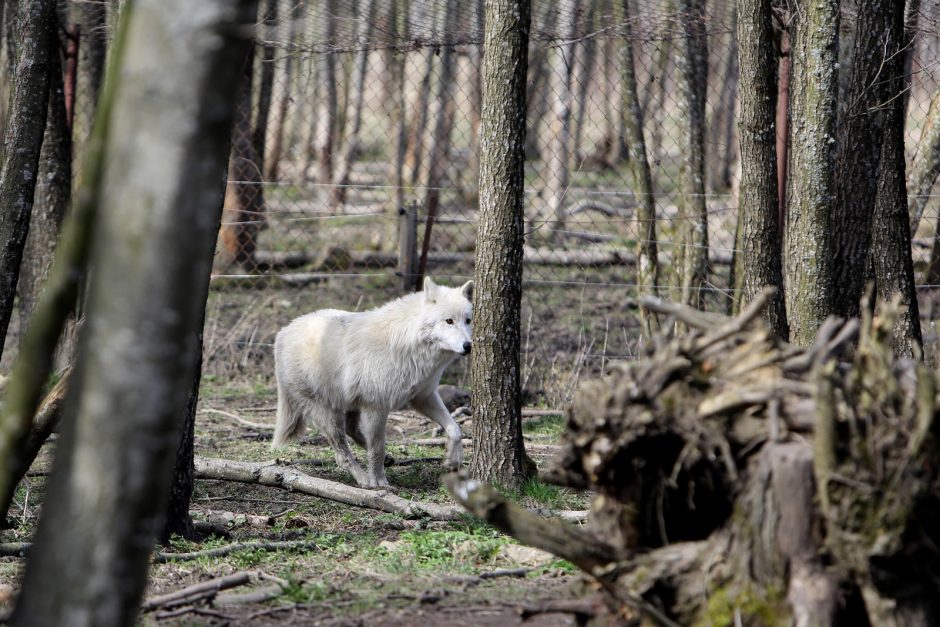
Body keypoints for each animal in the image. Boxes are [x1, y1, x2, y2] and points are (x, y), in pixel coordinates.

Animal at [274, 280, 474, 490]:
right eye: (449, 321)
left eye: (468, 320)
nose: (468, 346)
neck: (408, 342)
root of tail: (282, 333)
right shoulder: (376, 406)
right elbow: (377, 447)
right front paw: (378, 481)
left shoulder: (423, 397)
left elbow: (455, 429)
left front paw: (453, 461)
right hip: (328, 414)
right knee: (342, 455)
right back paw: (364, 479)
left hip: (351, 405)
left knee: (351, 430)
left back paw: (387, 459)